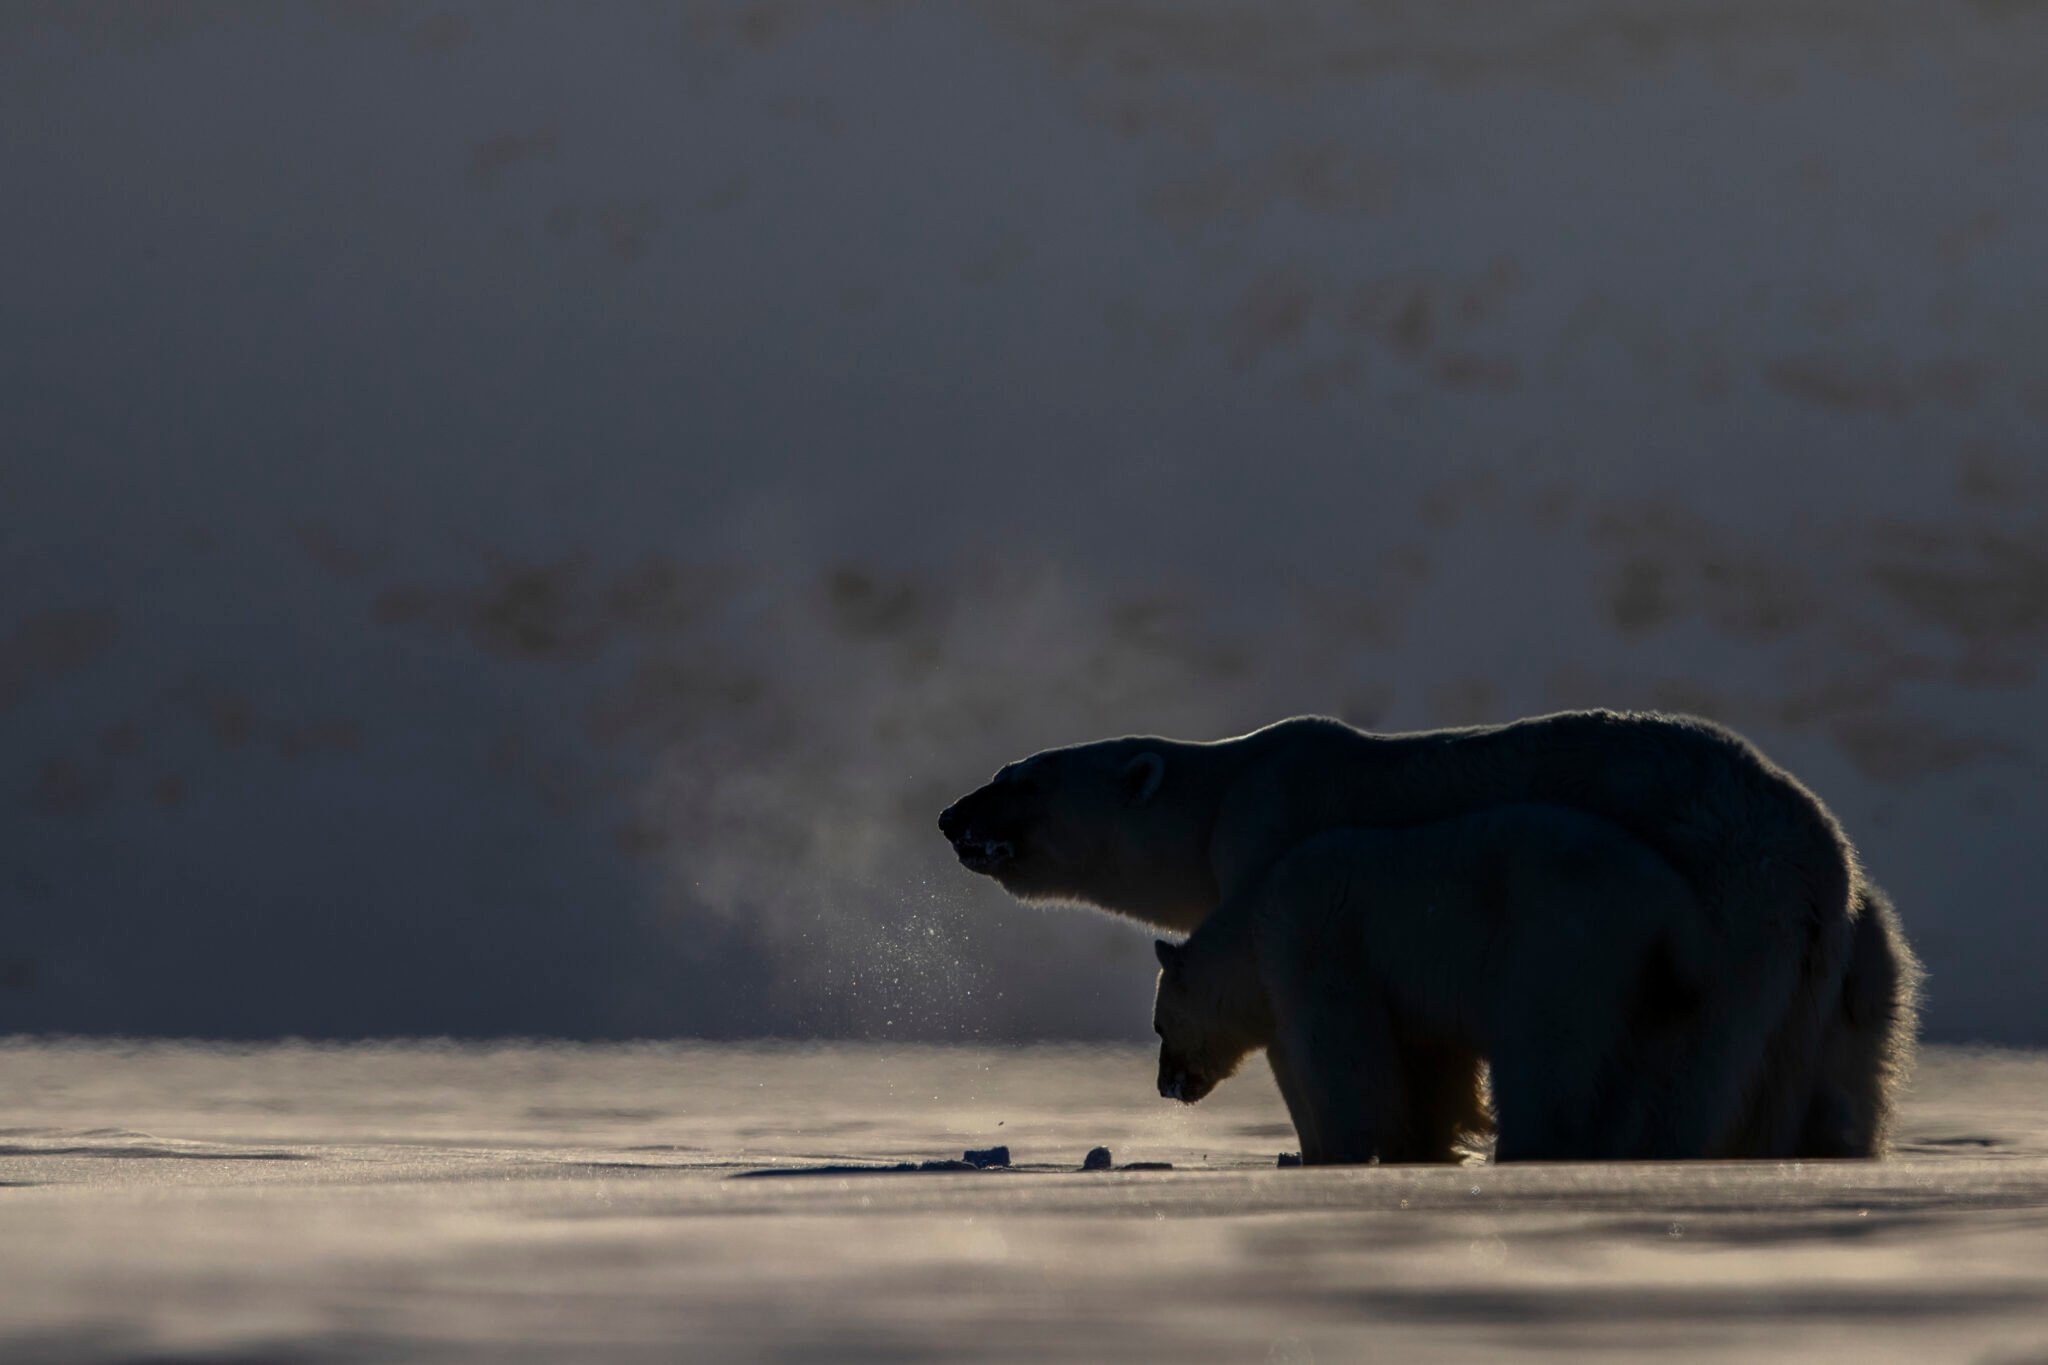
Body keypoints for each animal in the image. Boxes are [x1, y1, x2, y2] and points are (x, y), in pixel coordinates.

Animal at [942, 716, 1916, 1162]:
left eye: (1017, 778)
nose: (952, 816)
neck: (1225, 792)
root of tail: (1825, 877)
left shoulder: (1278, 844)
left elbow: (1303, 1028)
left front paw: (1321, 1143)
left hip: (1722, 927)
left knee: (1678, 1071)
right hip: (1866, 968)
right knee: (1845, 1079)